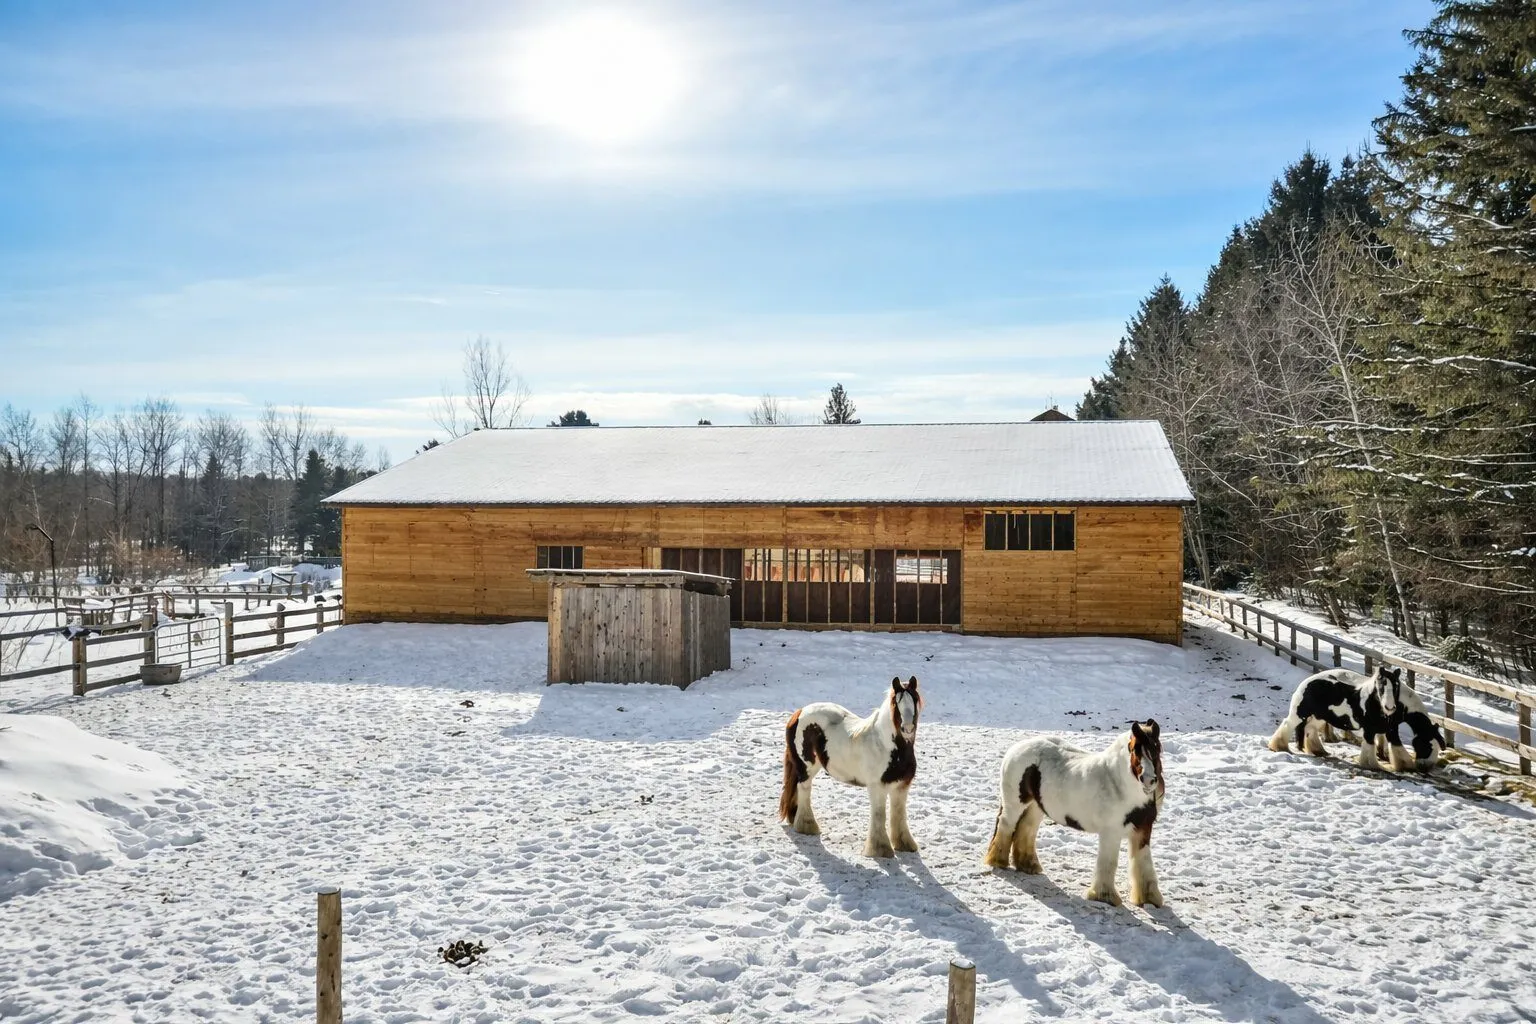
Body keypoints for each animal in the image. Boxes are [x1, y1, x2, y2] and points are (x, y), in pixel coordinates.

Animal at [778, 676, 921, 858]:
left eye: (915, 699)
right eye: (897, 703)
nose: (907, 728)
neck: (885, 745)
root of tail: (799, 712)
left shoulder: (902, 786)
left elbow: (899, 814)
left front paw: (904, 844)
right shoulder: (877, 787)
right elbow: (879, 815)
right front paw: (880, 849)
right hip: (807, 768)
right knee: (804, 790)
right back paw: (807, 826)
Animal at [984, 720, 1165, 908]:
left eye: (1157, 748)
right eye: (1135, 749)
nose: (1148, 780)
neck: (1119, 784)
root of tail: (1016, 748)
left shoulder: (1143, 830)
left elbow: (1143, 861)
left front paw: (1149, 898)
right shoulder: (1111, 833)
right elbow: (1108, 862)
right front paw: (1104, 896)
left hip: (1036, 807)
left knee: (1026, 829)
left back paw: (1028, 865)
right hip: (1014, 804)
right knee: (1006, 826)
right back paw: (998, 861)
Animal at [1267, 666, 1401, 769]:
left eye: (1396, 685)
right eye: (1381, 686)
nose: (1389, 707)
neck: (1369, 702)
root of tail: (1306, 683)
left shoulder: (1378, 730)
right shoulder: (1369, 730)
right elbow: (1369, 748)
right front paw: (1371, 765)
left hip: (1318, 717)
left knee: (1310, 729)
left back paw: (1318, 751)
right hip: (1299, 714)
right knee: (1287, 725)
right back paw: (1279, 747)